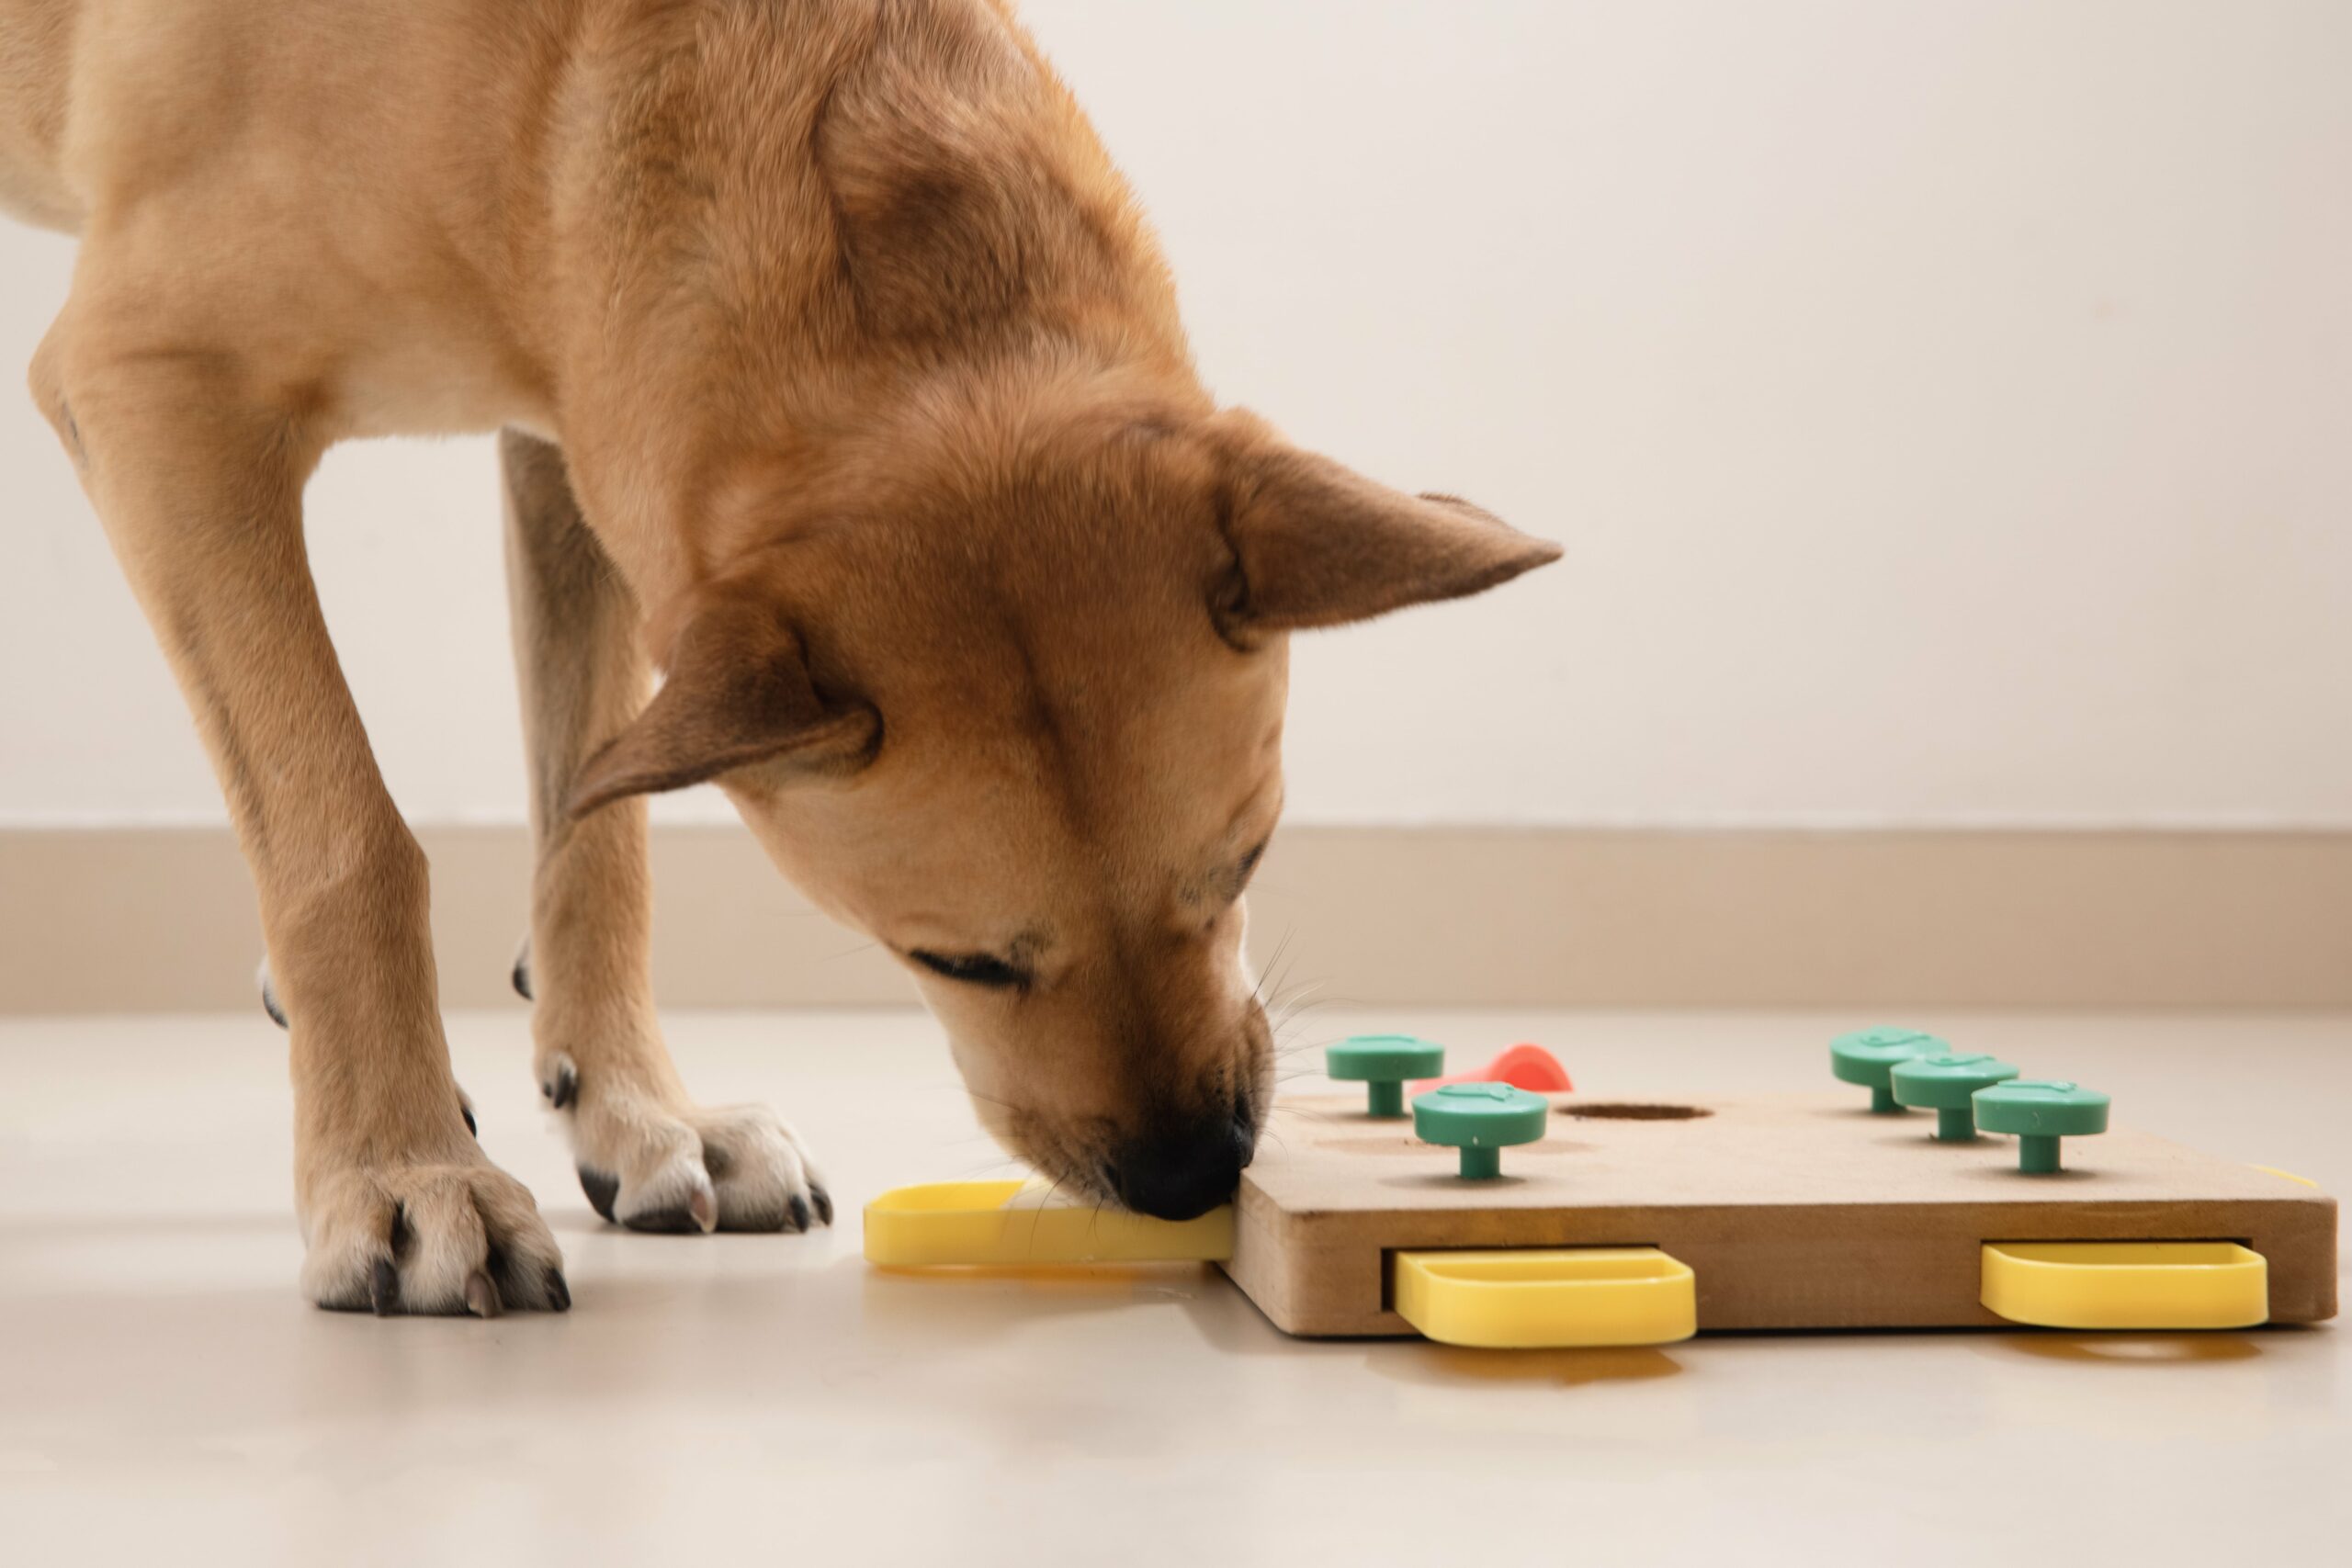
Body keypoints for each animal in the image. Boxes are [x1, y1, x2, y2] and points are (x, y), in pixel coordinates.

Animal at [5, 0, 1561, 1316]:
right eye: (956, 959)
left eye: (1242, 866)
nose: (1189, 1172)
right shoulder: (152, 394)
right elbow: (345, 829)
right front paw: (398, 1167)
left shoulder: (580, 434)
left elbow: (596, 814)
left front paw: (636, 1107)